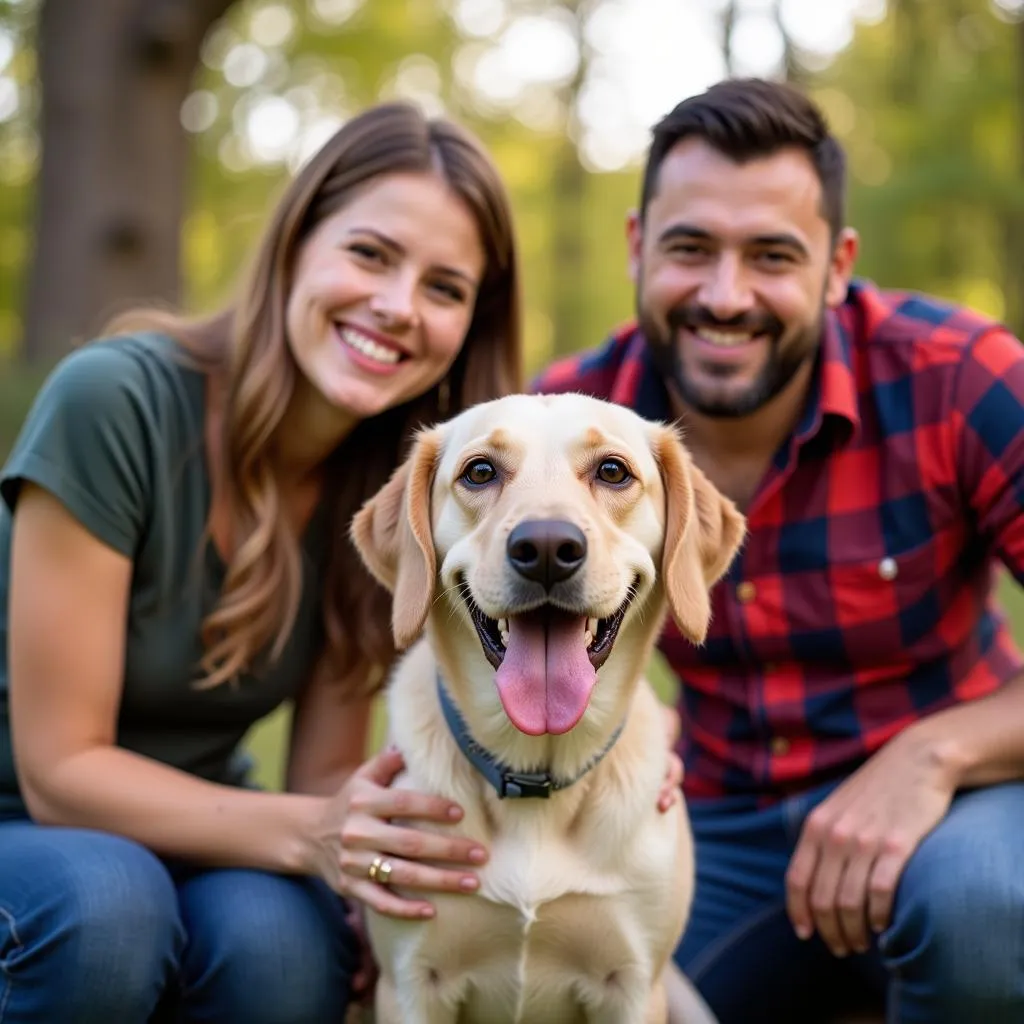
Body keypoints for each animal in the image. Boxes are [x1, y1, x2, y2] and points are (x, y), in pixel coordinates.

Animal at [352, 393, 745, 1024]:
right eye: (480, 471)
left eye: (612, 471)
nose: (545, 550)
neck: (535, 774)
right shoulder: (411, 981)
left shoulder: (635, 984)